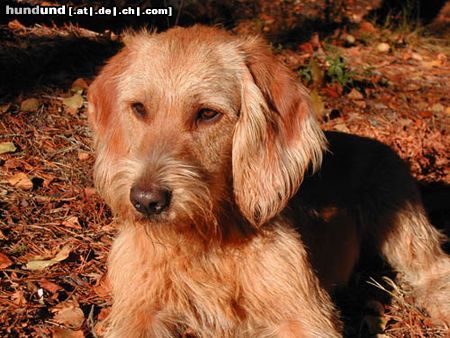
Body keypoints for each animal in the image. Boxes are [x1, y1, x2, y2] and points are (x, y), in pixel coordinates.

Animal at [86, 25, 448, 336]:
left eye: (208, 114)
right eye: (139, 108)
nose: (146, 201)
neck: (206, 238)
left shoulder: (306, 315)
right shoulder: (138, 309)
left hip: (401, 223)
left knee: (434, 268)